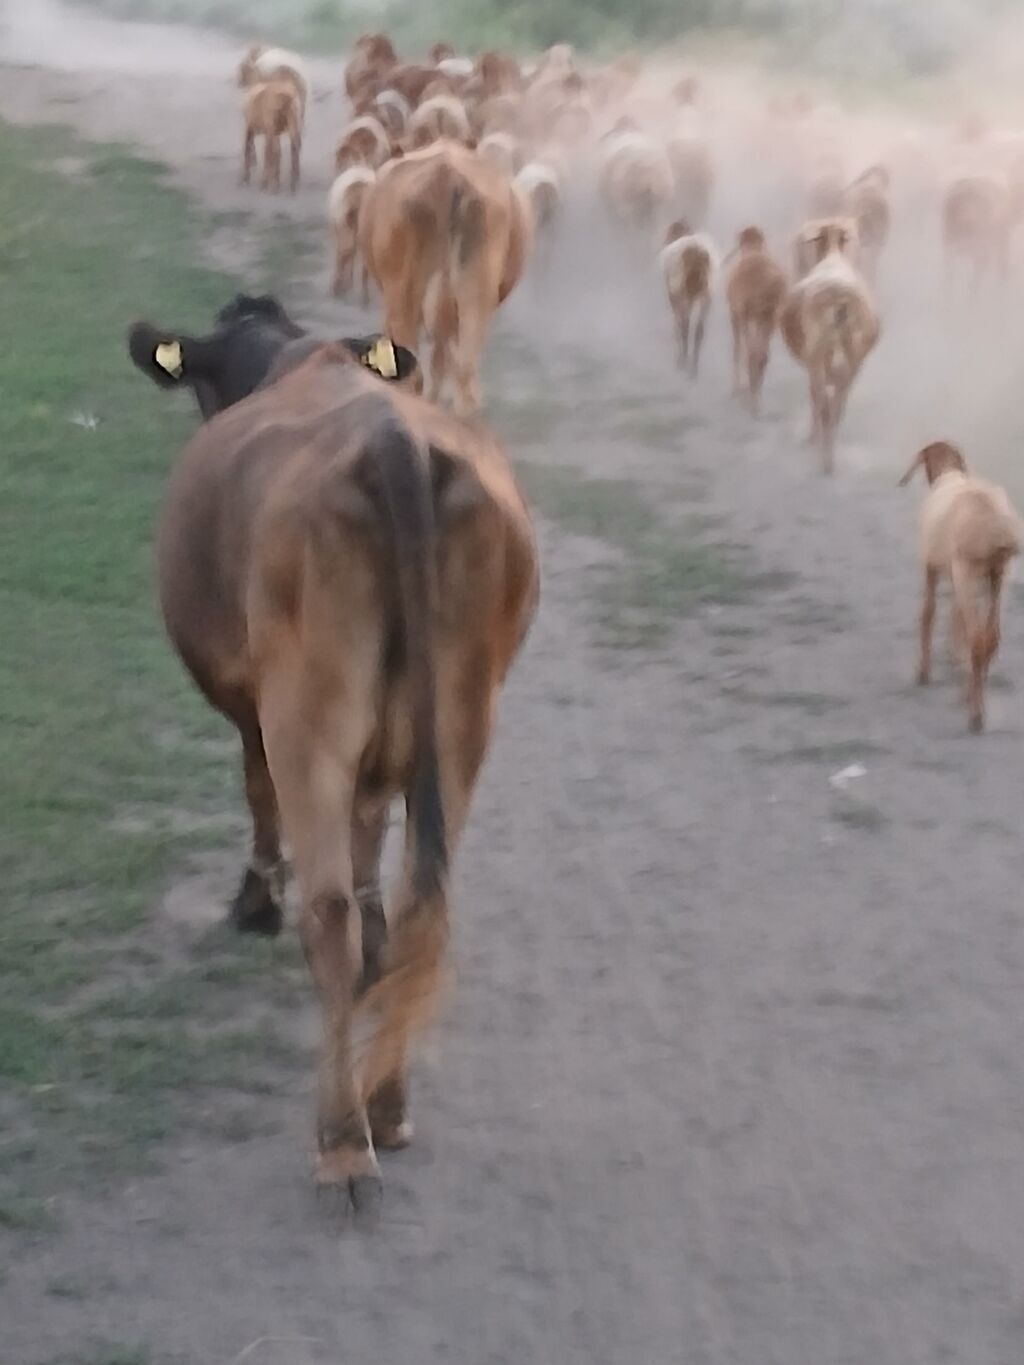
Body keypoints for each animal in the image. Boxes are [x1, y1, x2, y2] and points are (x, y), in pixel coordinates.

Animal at [126, 295, 539, 1210]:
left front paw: (253, 902)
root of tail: (396, 442)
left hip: (308, 708)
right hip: (464, 712)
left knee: (327, 912)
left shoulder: (255, 707)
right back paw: (387, 1101)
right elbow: (371, 828)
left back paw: (344, 1139)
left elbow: (259, 794)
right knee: (427, 898)